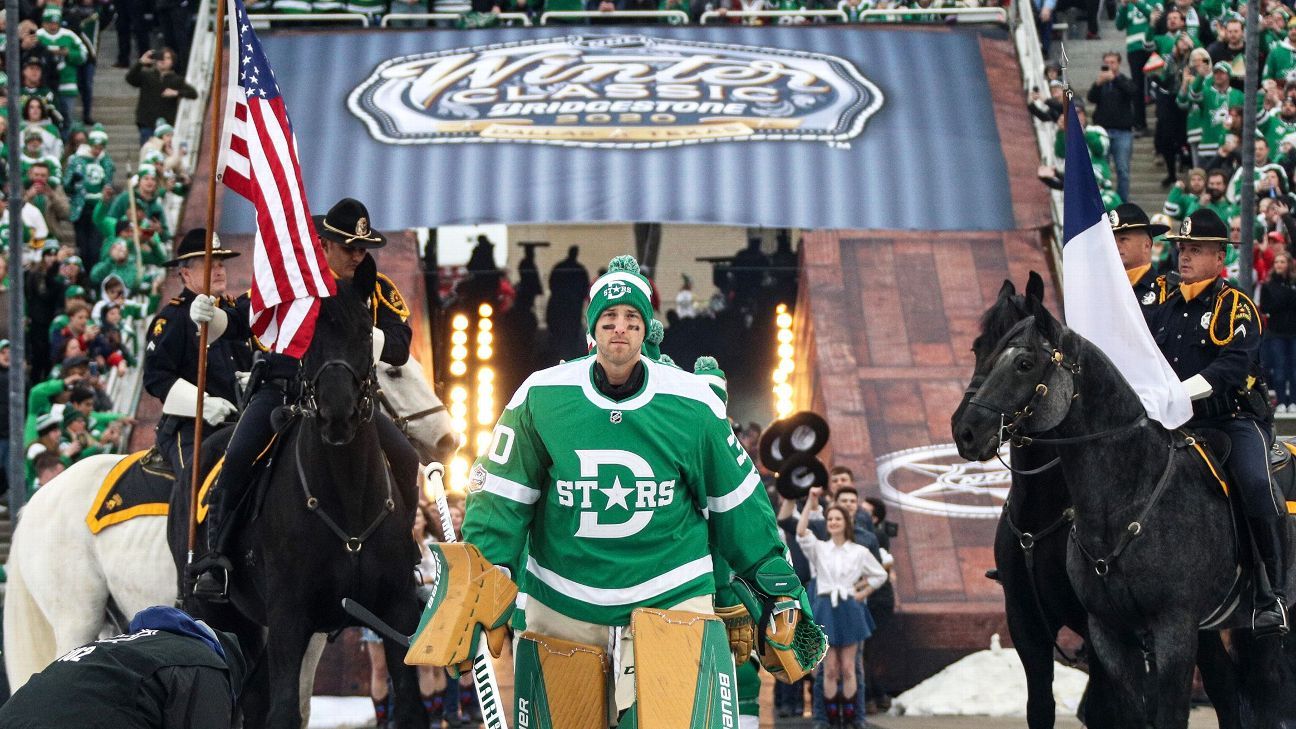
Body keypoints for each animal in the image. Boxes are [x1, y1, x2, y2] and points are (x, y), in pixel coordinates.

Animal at [165, 263, 419, 721]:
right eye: (307, 336)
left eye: (364, 332)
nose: (338, 415)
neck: (347, 498)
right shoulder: (289, 618)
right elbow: (284, 710)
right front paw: (208, 313)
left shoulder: (397, 614)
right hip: (216, 612)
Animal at [948, 278, 1290, 726]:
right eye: (978, 348)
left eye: (1023, 363)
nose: (966, 430)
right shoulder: (1077, 629)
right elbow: (1061, 708)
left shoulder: (1172, 630)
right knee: (1227, 690)